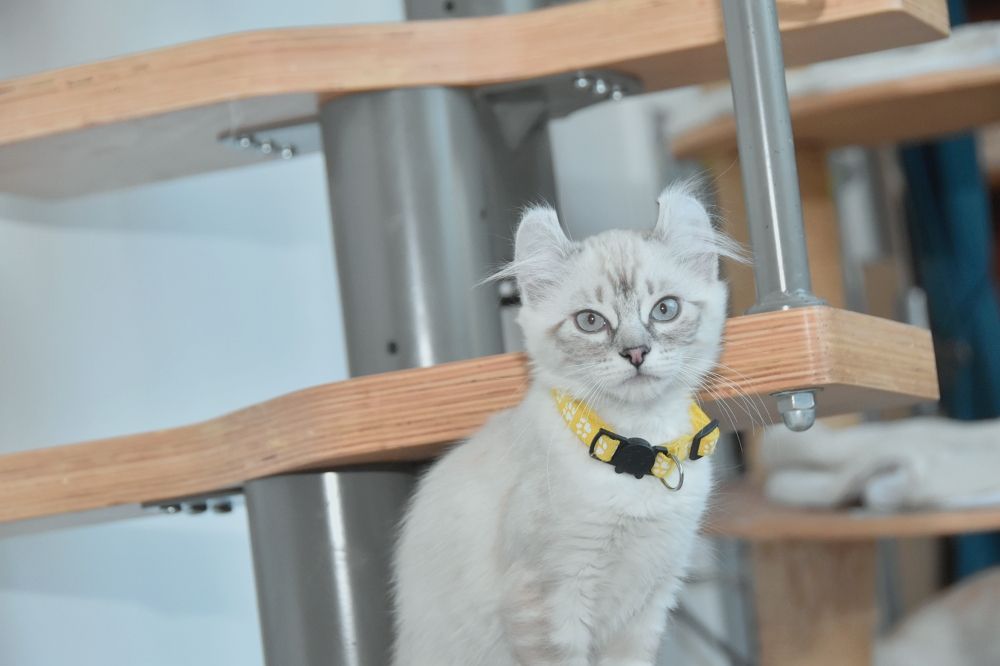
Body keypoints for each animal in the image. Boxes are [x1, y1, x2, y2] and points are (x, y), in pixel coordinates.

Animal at [392, 183, 740, 666]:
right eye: (590, 321)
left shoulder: (650, 600)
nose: (636, 353)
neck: (637, 450)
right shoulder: (548, 598)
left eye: (665, 310)